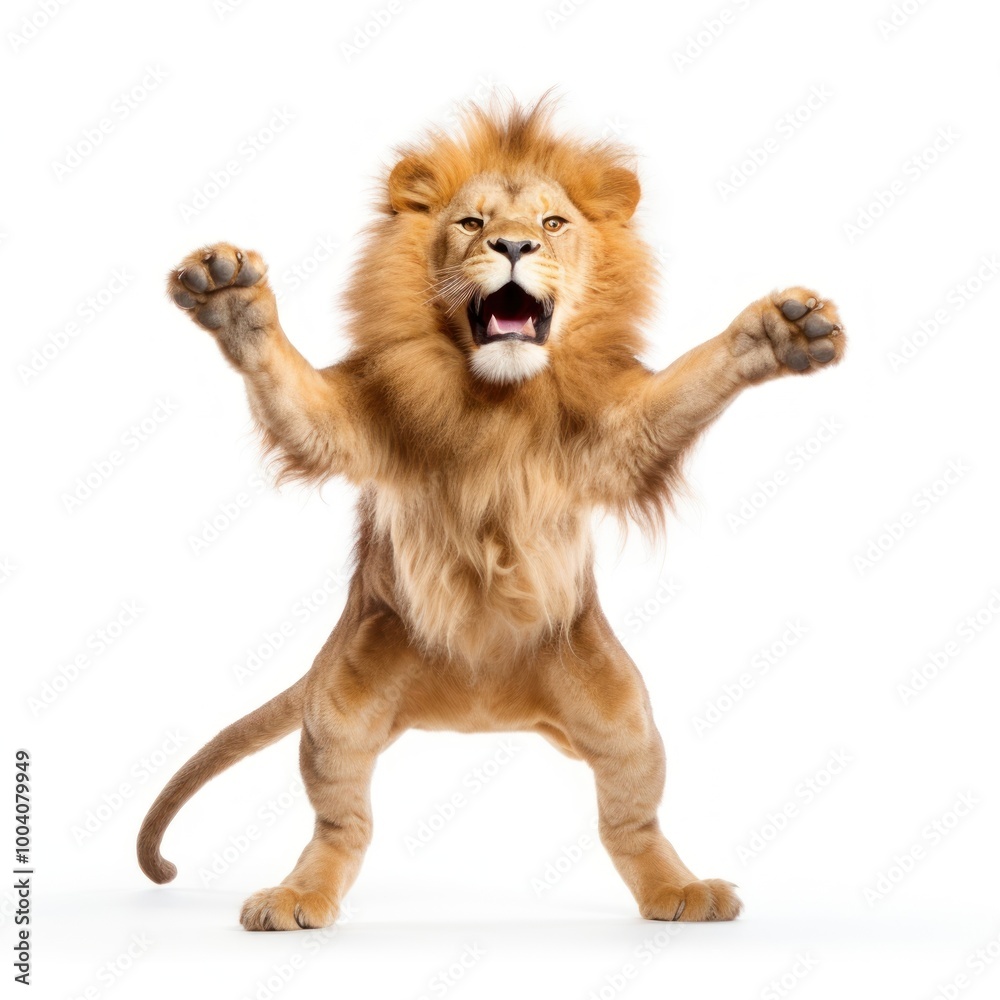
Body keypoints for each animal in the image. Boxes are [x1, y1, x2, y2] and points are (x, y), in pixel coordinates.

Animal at [138, 98, 845, 930]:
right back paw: (298, 895)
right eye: (472, 223)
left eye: (552, 222)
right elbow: (296, 393)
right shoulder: (358, 424)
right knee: (342, 825)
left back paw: (682, 891)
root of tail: (478, 708)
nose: (513, 246)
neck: (498, 400)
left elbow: (686, 387)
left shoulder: (616, 439)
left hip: (622, 713)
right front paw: (231, 300)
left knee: (631, 821)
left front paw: (781, 333)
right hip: (340, 706)